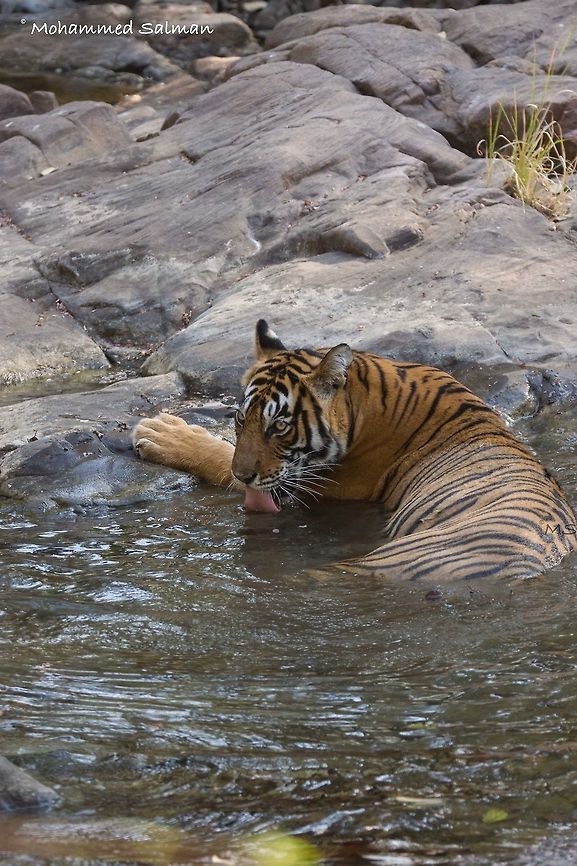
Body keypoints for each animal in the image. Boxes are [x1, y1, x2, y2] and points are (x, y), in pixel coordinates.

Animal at [132, 319, 577, 582]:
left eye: (279, 426)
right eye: (241, 420)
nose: (246, 476)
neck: (369, 395)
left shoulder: (318, 484)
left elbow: (220, 455)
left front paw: (162, 432)